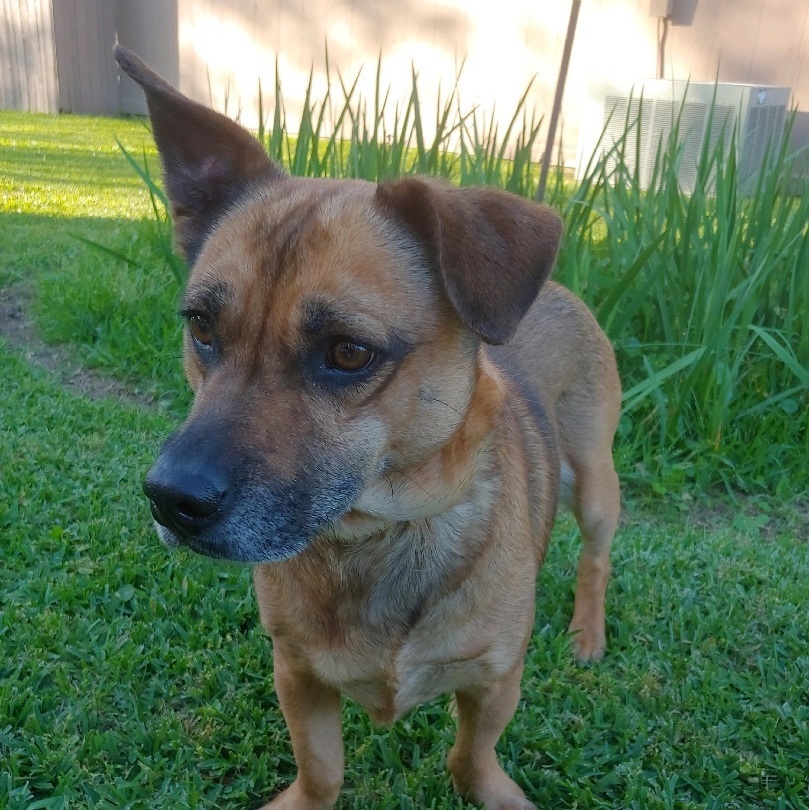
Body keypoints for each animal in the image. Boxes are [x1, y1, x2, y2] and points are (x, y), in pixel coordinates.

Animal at [117, 45, 620, 808]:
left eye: (349, 353)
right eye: (200, 325)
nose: (170, 499)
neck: (377, 535)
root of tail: (556, 288)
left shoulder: (495, 680)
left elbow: (470, 757)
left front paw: (493, 789)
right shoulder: (295, 673)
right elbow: (321, 767)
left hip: (594, 483)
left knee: (595, 556)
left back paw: (587, 631)